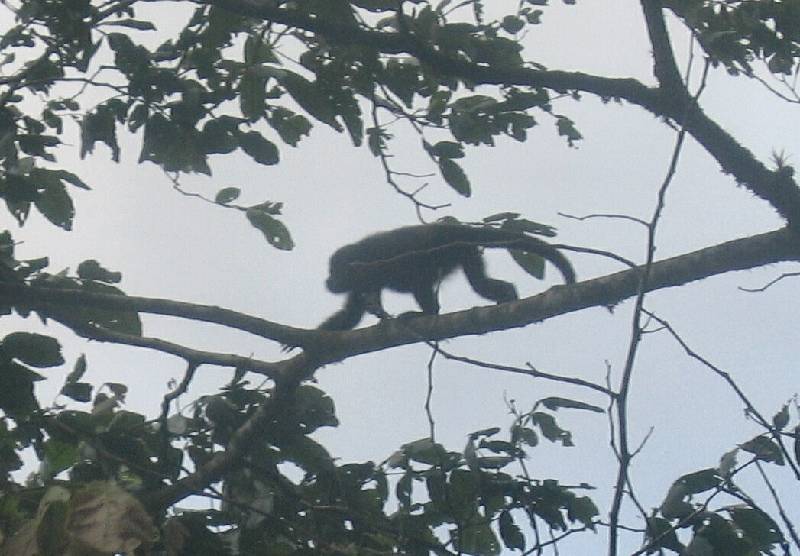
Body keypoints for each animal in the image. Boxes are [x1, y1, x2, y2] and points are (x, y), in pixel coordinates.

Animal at [318, 224, 576, 330]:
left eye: (334, 271)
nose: (328, 281)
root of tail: (455, 229)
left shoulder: (377, 263)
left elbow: (417, 277)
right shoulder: (362, 281)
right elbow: (351, 315)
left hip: (445, 249)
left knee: (421, 279)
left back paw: (427, 313)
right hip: (467, 251)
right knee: (479, 283)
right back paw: (507, 295)